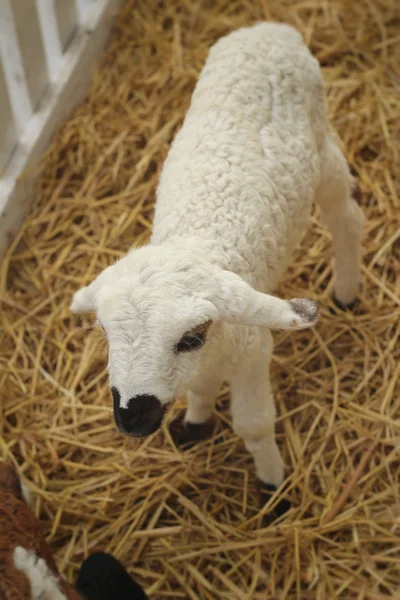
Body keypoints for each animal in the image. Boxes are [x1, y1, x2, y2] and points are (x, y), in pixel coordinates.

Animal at [70, 22, 364, 496]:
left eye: (190, 337)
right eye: (104, 332)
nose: (132, 418)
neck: (195, 241)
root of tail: (270, 28)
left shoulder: (250, 351)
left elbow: (254, 425)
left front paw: (273, 484)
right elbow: (201, 388)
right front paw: (195, 421)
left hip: (323, 147)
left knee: (346, 216)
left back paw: (347, 291)